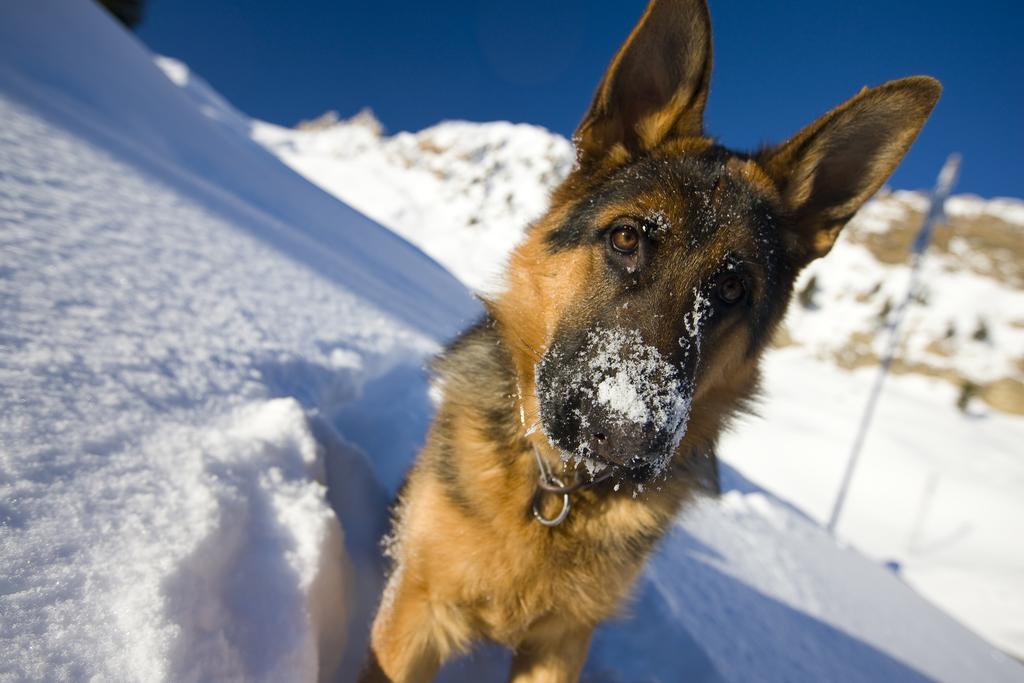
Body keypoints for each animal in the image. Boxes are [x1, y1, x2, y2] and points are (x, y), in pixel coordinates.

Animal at [362, 0, 942, 679]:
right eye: (626, 238)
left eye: (732, 289)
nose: (625, 434)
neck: (559, 492)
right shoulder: (416, 616)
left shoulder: (561, 642)